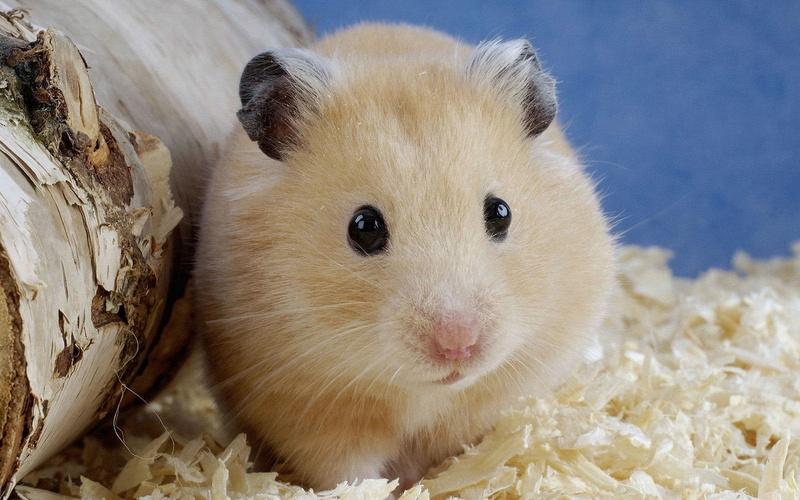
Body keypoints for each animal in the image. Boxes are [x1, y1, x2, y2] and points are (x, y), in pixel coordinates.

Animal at [194, 23, 615, 491]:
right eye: (364, 227)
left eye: (501, 212)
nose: (458, 345)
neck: (422, 391)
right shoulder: (304, 406)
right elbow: (346, 470)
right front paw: (382, 490)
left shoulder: (499, 393)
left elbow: (456, 452)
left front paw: (431, 482)